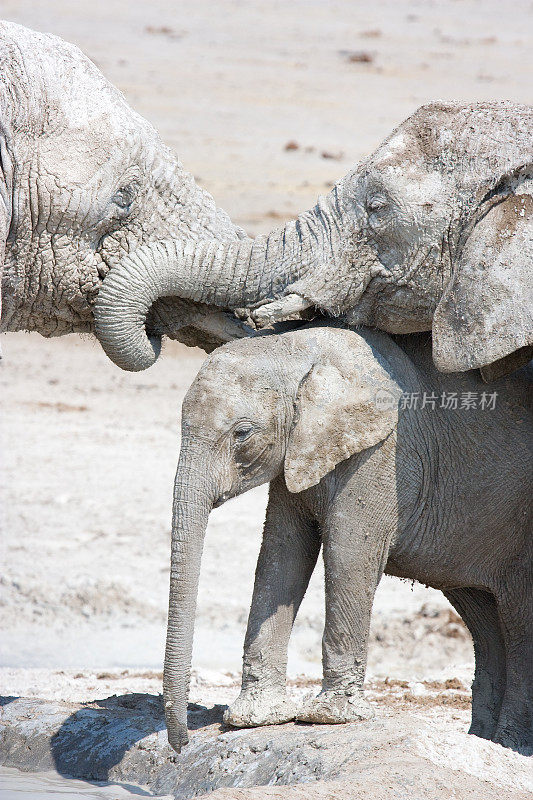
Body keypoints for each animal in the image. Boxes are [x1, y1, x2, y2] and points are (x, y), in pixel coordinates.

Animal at [164, 322, 528, 752]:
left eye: (242, 433)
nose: (181, 745)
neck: (299, 349)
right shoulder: (300, 454)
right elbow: (281, 554)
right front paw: (252, 719)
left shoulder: (383, 450)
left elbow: (349, 552)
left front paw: (329, 718)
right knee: (485, 618)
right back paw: (487, 742)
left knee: (519, 622)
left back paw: (510, 745)